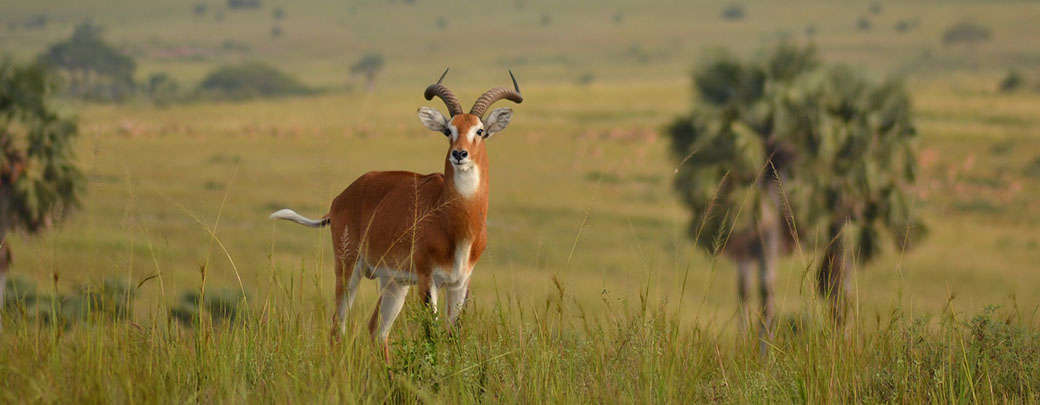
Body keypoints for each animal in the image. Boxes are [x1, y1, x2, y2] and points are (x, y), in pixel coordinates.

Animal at [272, 68, 524, 360]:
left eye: (480, 130)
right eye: (448, 130)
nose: (459, 154)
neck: (454, 223)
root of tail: (341, 197)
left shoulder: (460, 283)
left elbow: (454, 338)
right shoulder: (428, 279)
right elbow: (430, 335)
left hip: (395, 283)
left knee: (377, 329)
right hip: (349, 270)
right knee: (339, 325)